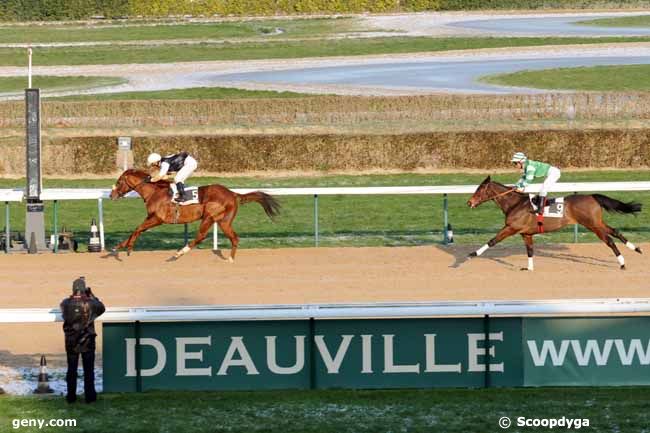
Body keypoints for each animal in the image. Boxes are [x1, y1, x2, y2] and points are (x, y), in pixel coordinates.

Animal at [108, 168, 278, 260]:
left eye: (119, 182)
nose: (111, 195)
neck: (155, 191)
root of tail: (232, 193)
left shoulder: (158, 218)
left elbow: (138, 229)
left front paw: (128, 248)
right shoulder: (150, 217)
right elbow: (137, 229)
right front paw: (118, 247)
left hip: (209, 216)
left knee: (201, 236)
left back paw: (179, 253)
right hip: (224, 221)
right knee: (234, 238)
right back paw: (230, 259)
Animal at [466, 176, 636, 270]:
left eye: (479, 189)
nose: (469, 202)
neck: (515, 204)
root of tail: (592, 196)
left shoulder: (511, 227)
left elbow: (492, 240)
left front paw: (472, 254)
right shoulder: (526, 233)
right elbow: (530, 250)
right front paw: (529, 268)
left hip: (592, 225)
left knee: (609, 240)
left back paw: (622, 263)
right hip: (597, 222)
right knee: (615, 231)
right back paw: (636, 249)